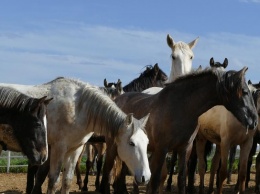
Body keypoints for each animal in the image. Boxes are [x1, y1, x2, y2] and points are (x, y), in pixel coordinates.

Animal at [0, 77, 150, 194]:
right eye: (131, 143)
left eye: (147, 142)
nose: (146, 176)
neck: (77, 108)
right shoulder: (58, 148)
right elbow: (53, 181)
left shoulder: (76, 148)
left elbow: (67, 181)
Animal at [109, 67, 258, 194]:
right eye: (245, 91)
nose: (254, 120)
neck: (181, 107)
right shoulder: (162, 149)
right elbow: (156, 179)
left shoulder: (185, 148)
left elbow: (181, 179)